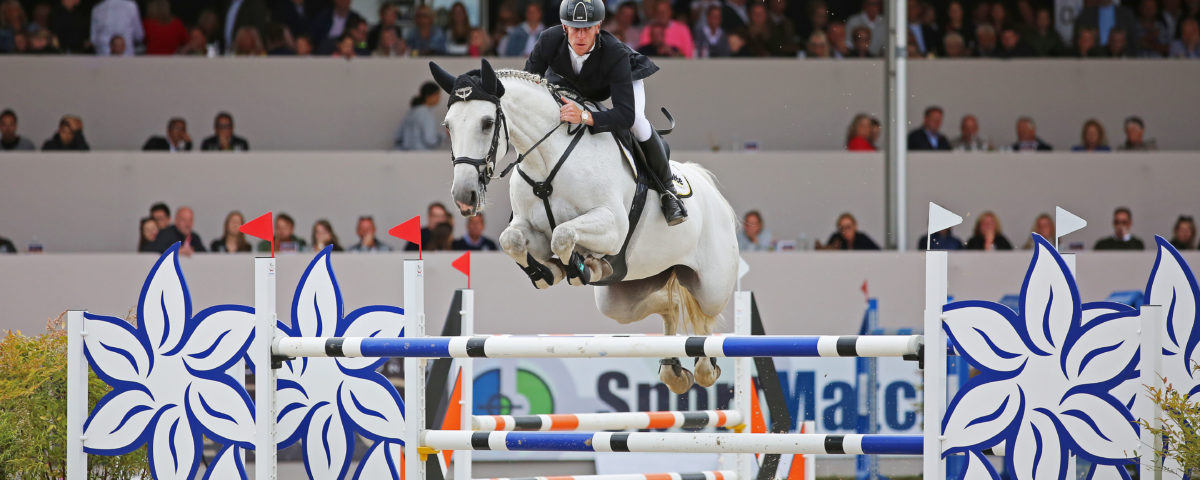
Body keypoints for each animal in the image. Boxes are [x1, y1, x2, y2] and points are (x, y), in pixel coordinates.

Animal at [427, 59, 734, 393]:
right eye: (448, 125)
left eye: (486, 122)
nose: (464, 196)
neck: (546, 160)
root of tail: (708, 185)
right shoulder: (528, 227)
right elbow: (513, 241)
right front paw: (549, 272)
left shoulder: (612, 227)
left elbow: (563, 235)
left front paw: (580, 267)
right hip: (623, 297)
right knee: (670, 305)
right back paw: (673, 371)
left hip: (711, 286)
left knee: (705, 321)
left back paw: (705, 367)